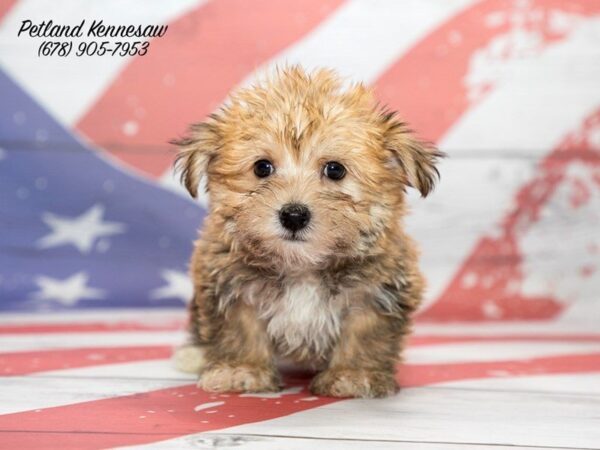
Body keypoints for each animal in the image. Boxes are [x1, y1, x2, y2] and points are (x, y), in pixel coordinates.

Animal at [171, 66, 442, 398]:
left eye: (335, 170)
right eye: (262, 167)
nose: (294, 215)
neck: (302, 267)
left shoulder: (375, 293)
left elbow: (365, 335)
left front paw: (354, 375)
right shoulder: (231, 287)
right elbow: (239, 330)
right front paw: (241, 369)